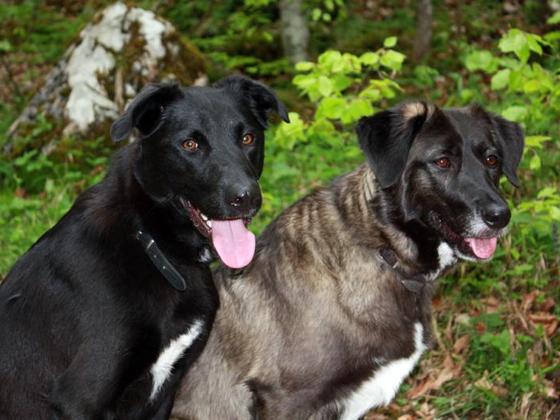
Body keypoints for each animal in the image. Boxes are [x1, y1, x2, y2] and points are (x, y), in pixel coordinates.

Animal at [0, 76, 286, 420]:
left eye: (247, 138)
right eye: (190, 145)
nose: (246, 198)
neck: (153, 244)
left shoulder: (166, 390)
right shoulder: (80, 397)